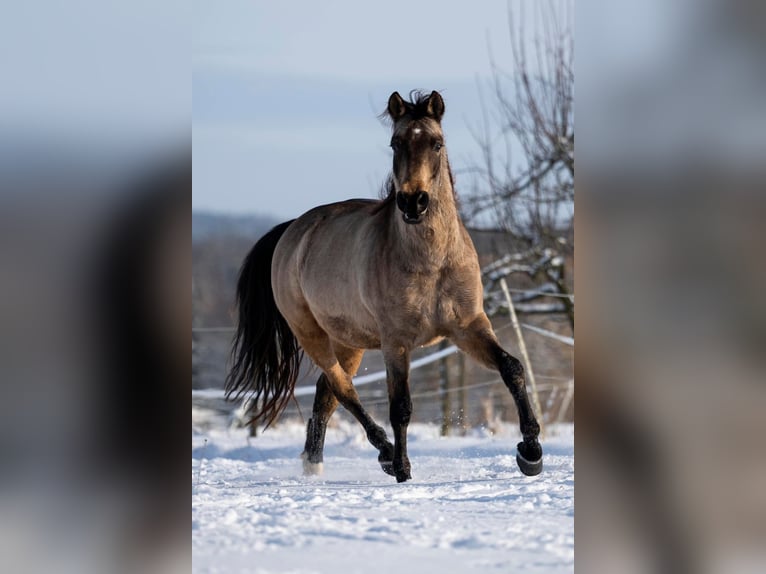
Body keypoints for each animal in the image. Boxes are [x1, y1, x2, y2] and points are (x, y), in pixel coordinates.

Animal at [226, 90, 542, 482]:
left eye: (436, 143)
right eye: (395, 143)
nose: (413, 201)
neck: (432, 261)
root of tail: (292, 230)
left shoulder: (467, 327)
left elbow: (511, 368)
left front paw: (531, 452)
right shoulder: (396, 342)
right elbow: (400, 406)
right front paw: (404, 469)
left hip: (348, 341)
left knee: (327, 393)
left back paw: (315, 462)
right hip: (310, 333)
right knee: (343, 389)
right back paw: (386, 455)